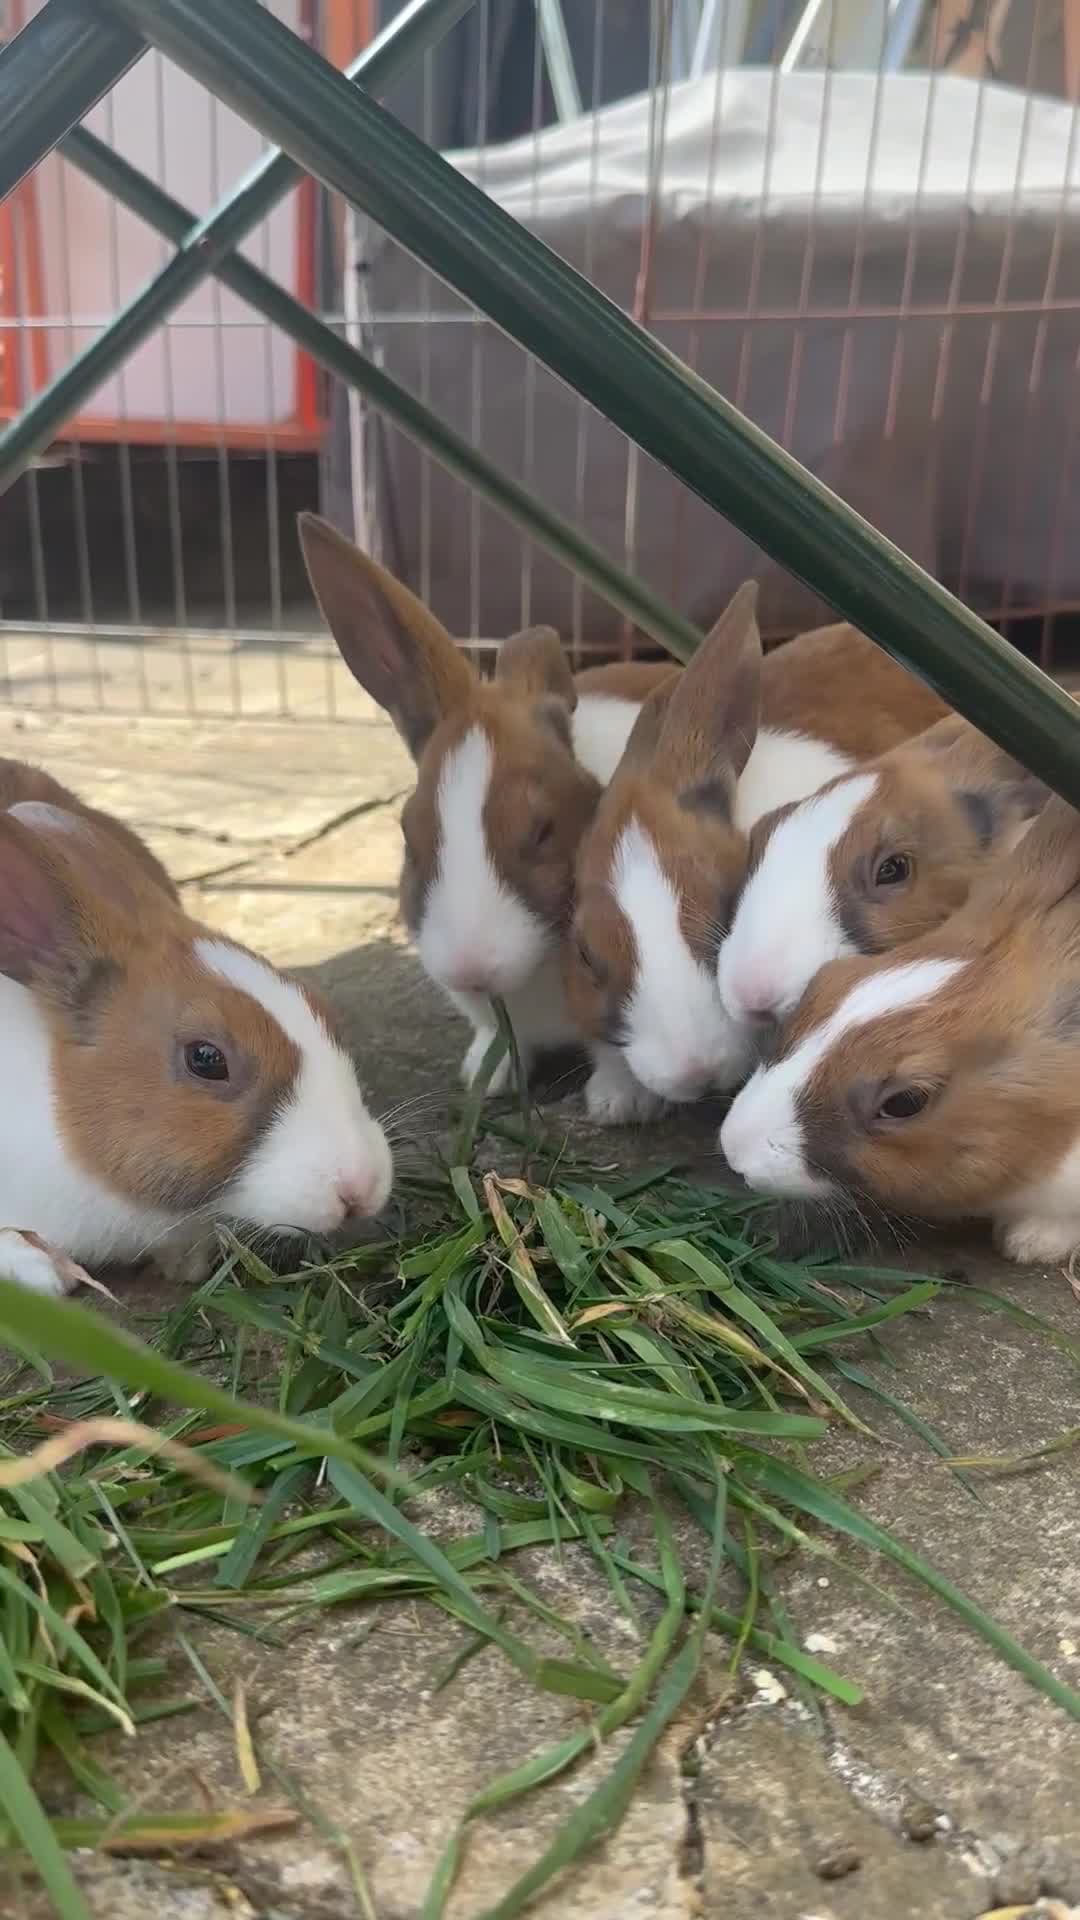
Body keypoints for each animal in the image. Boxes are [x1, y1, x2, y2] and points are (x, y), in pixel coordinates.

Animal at [298, 512, 676, 1092]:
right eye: (409, 836)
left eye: (542, 831)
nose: (469, 970)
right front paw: (485, 1075)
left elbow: (619, 1057)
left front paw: (616, 1100)